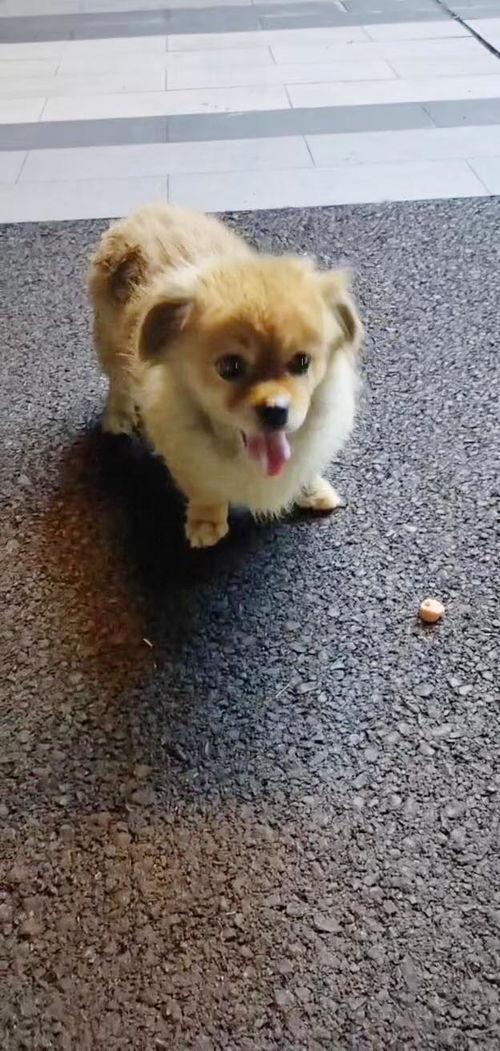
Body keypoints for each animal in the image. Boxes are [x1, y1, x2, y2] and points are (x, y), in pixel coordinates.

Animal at [89, 203, 363, 548]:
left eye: (302, 362)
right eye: (230, 367)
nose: (276, 410)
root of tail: (146, 211)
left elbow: (306, 469)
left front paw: (313, 491)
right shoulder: (186, 452)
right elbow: (205, 490)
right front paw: (206, 523)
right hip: (109, 338)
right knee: (118, 382)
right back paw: (118, 417)